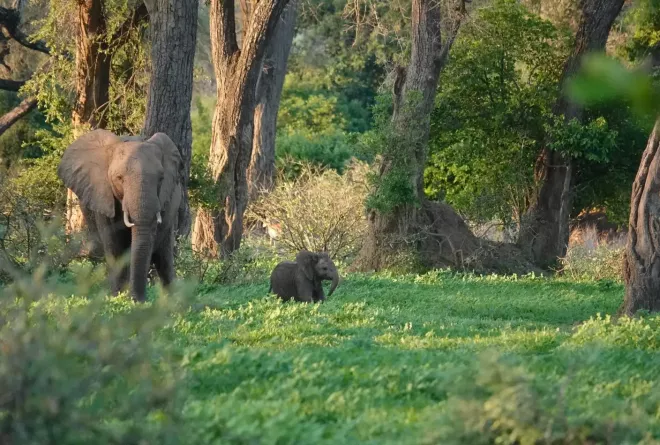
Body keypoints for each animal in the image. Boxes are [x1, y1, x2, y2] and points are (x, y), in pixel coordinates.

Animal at [57, 128, 183, 302]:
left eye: (161, 178)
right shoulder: (102, 194)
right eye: (119, 178)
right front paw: (117, 299)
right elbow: (115, 246)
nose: (138, 301)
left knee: (164, 258)